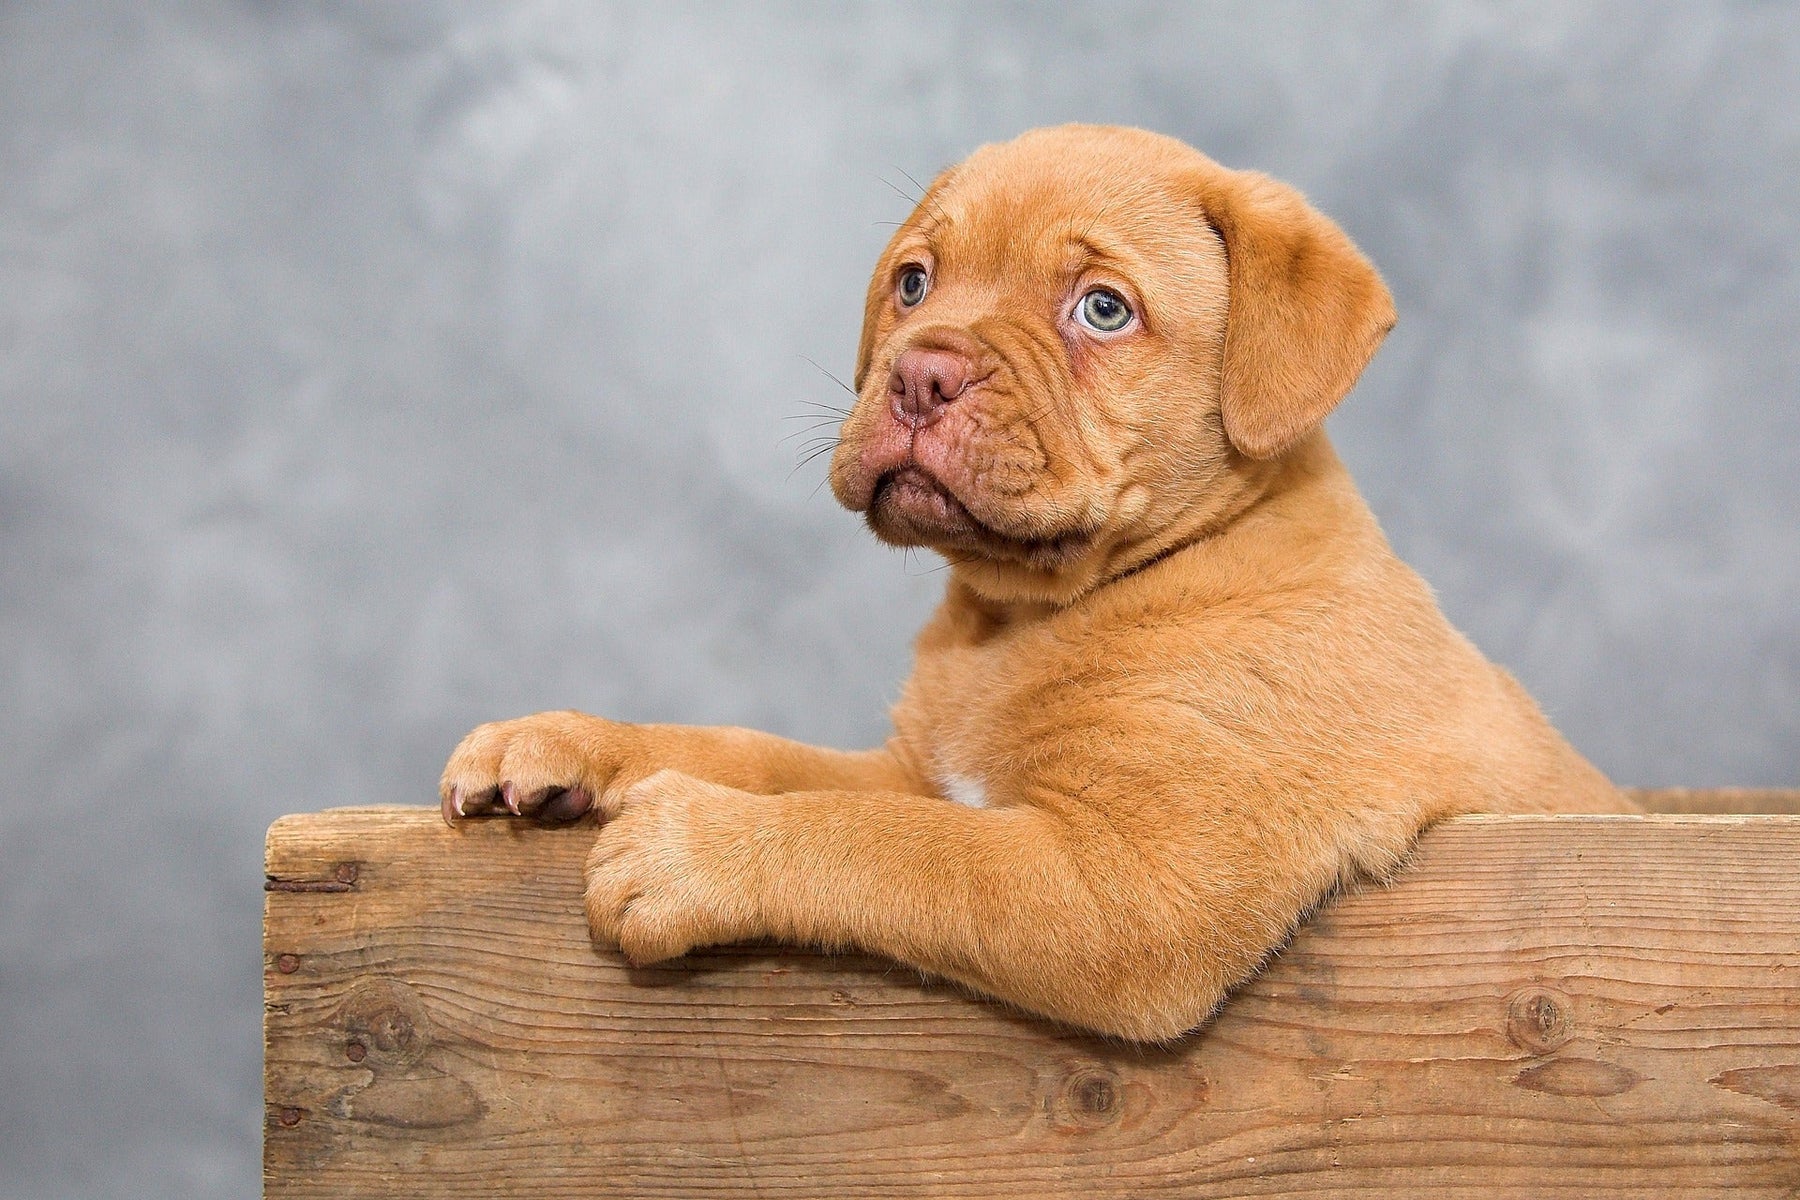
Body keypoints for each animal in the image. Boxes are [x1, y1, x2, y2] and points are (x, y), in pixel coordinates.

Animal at [442, 124, 1641, 1043]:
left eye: (1103, 310)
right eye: (913, 282)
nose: (921, 373)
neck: (1025, 616)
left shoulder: (1132, 890)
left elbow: (894, 846)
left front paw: (692, 850)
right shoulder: (918, 772)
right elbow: (764, 757)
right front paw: (564, 741)